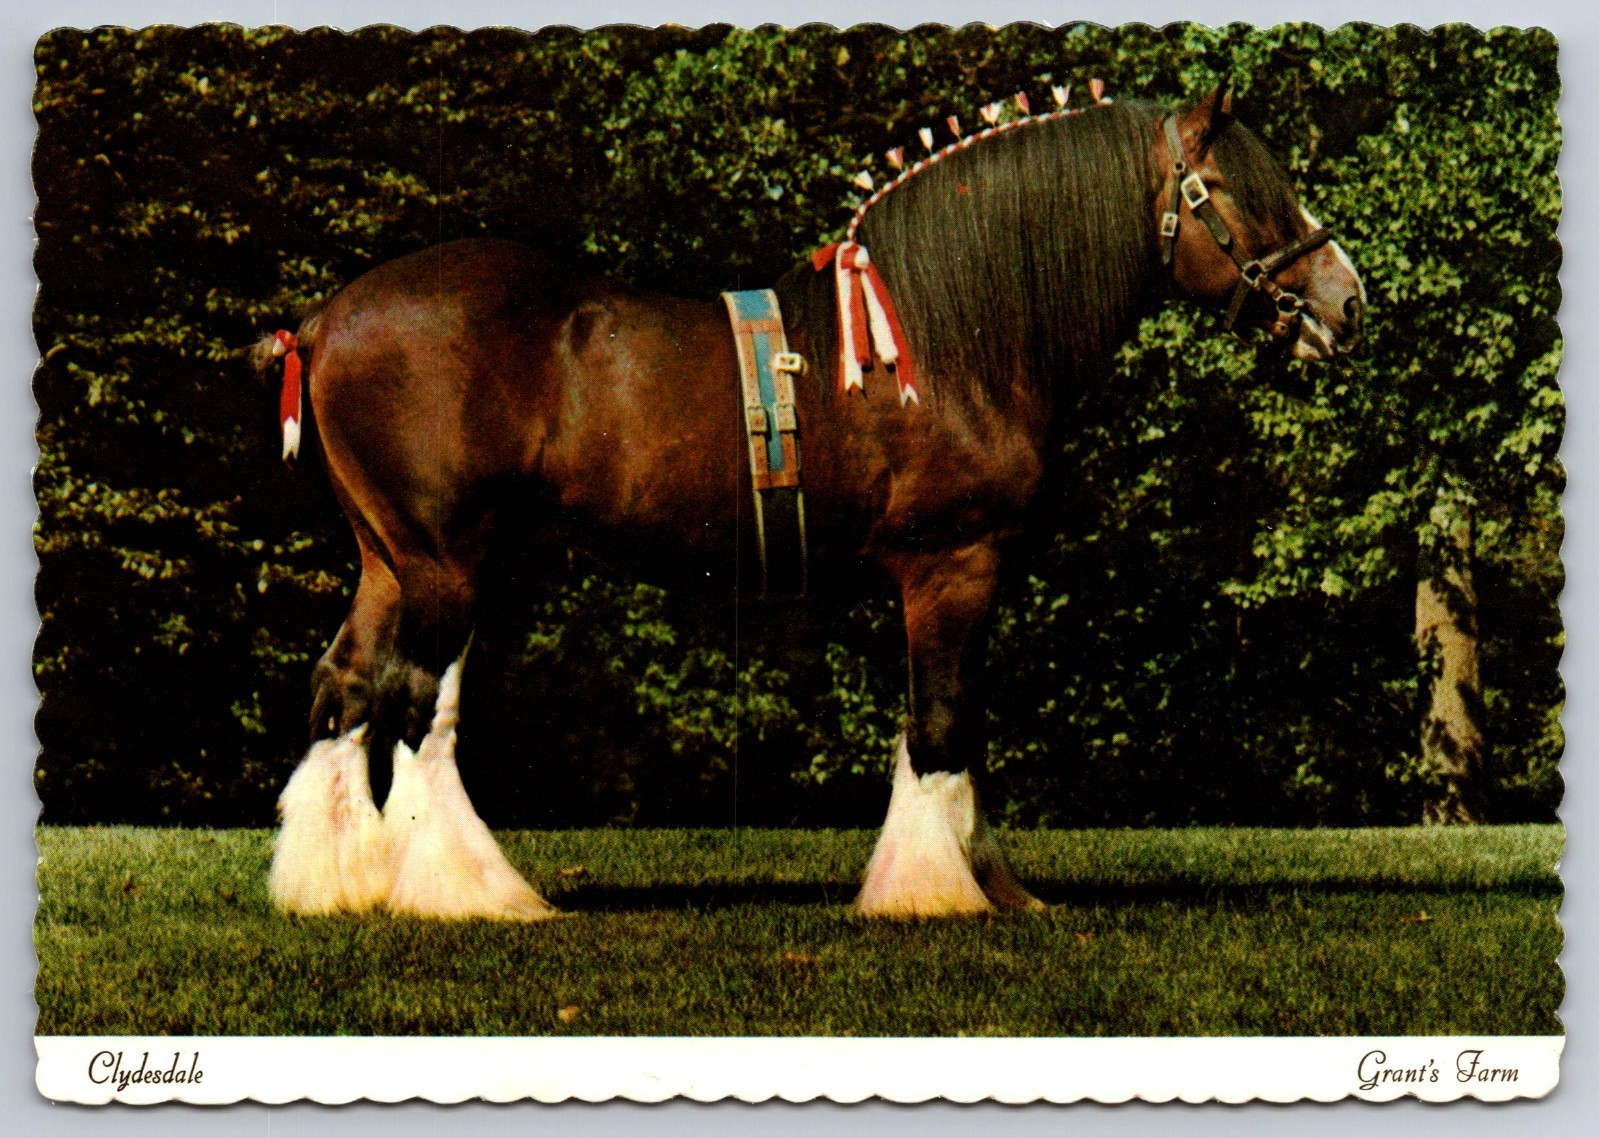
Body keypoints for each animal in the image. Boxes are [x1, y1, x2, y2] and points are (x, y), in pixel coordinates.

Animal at [257, 86, 1364, 921]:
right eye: (1234, 193)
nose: (1347, 302)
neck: (948, 338)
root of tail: (325, 319)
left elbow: (951, 722)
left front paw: (989, 884)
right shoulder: (952, 562)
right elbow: (941, 725)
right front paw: (932, 893)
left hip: (388, 559)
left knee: (344, 688)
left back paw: (334, 885)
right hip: (447, 561)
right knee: (415, 705)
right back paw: (468, 893)